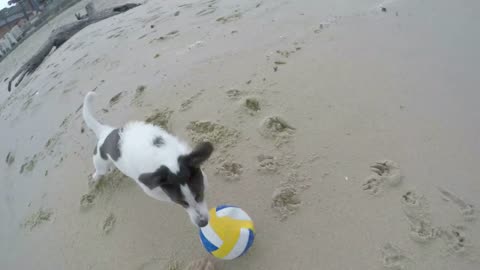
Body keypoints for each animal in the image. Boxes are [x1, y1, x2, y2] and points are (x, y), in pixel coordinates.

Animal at [82, 92, 212, 227]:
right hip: (100, 163)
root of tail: (105, 132)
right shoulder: (150, 189)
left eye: (199, 195)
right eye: (181, 203)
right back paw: (95, 178)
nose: (203, 223)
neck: (165, 157)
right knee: (99, 172)